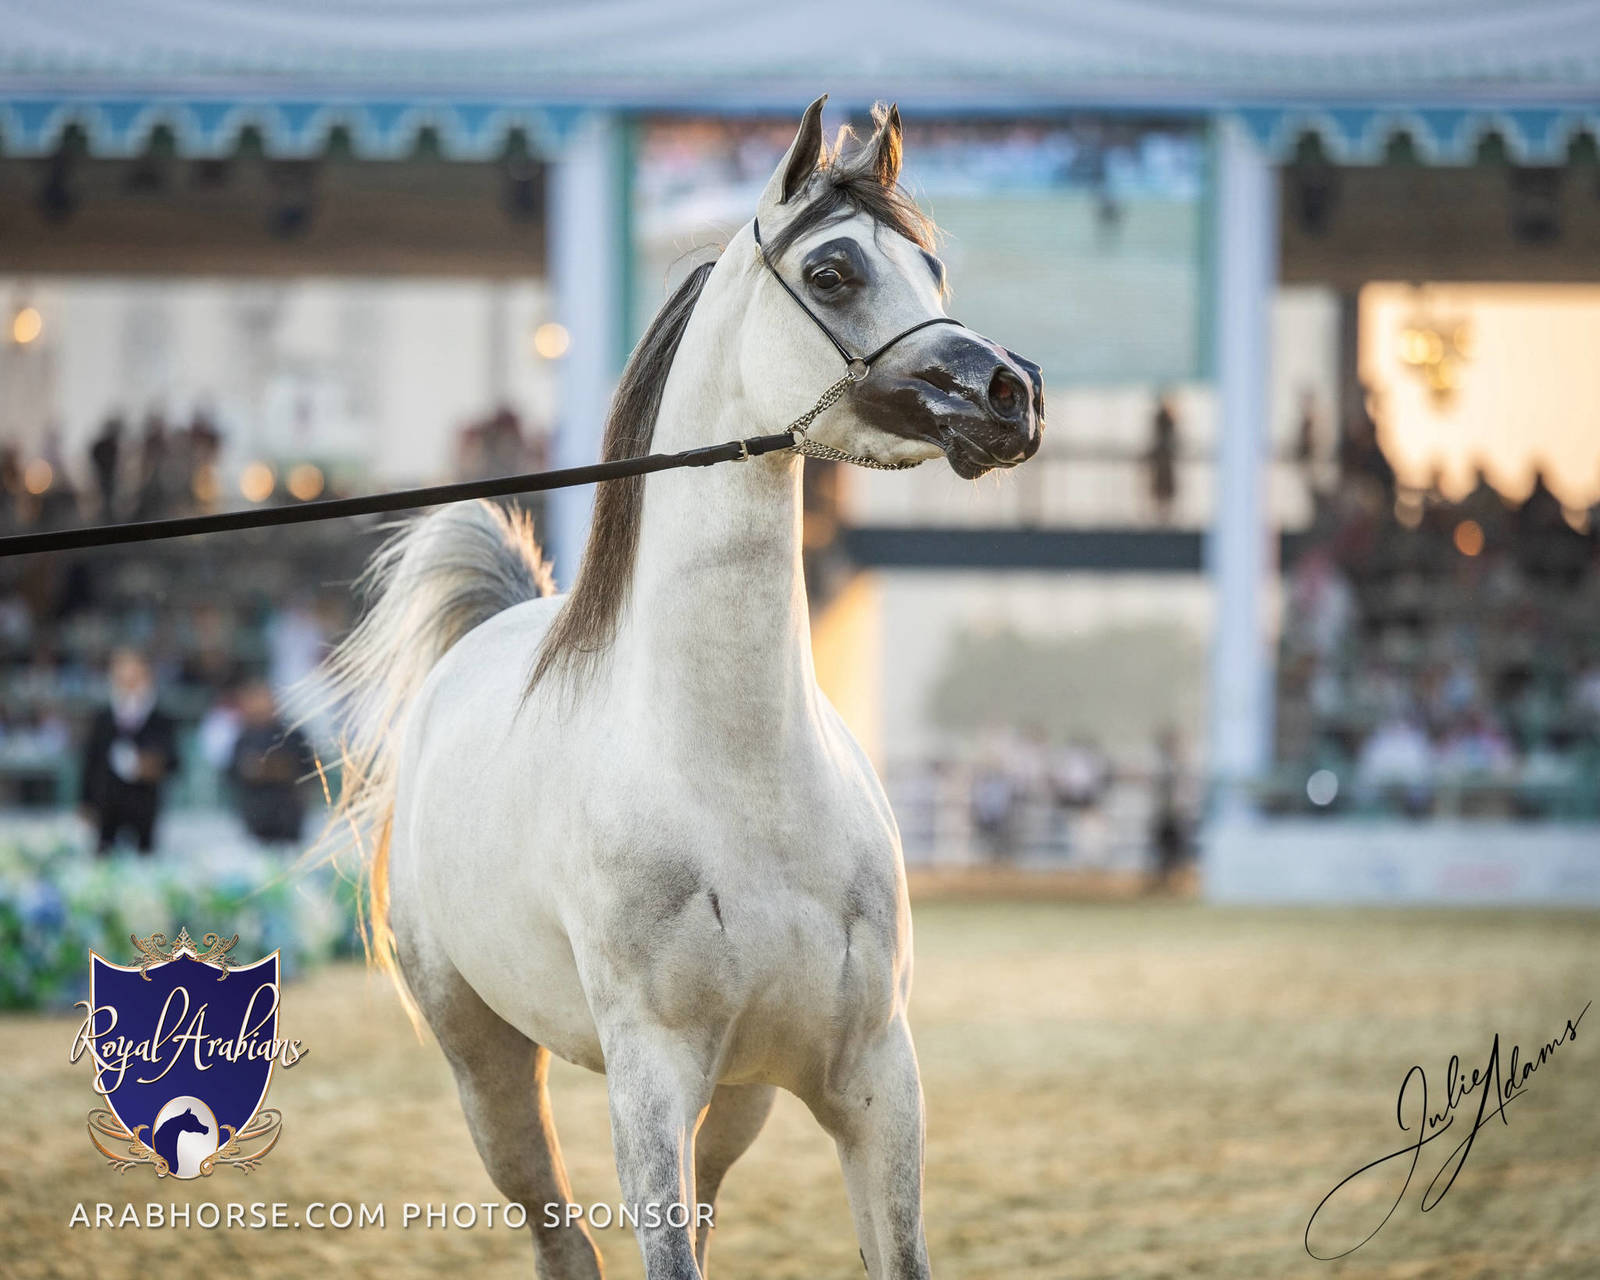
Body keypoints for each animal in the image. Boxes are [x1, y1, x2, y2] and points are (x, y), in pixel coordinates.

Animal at [322, 96, 1043, 1280]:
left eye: (932, 267)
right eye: (834, 271)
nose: (1009, 394)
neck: (739, 775)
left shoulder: (874, 1083)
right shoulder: (651, 1085)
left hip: (742, 1094)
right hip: (490, 1070)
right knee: (558, 1232)